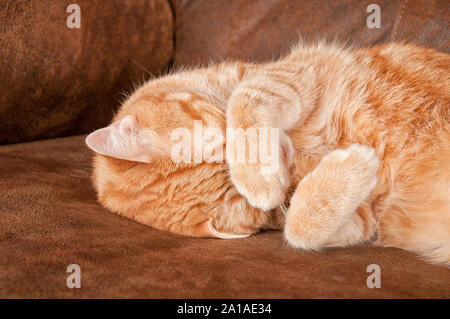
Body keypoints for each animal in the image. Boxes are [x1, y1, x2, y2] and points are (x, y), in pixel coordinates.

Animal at [86, 42, 448, 268]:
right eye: (242, 202)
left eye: (221, 144)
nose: (284, 153)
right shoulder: (364, 218)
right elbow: (298, 228)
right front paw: (355, 165)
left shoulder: (297, 71)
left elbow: (247, 95)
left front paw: (257, 174)